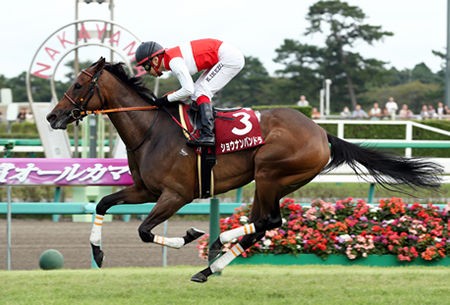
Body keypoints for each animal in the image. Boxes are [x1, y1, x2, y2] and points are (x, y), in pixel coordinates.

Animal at [47, 57, 442, 282]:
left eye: (78, 84)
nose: (52, 116)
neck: (151, 131)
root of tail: (321, 131)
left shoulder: (176, 194)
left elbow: (145, 231)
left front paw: (189, 234)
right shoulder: (145, 189)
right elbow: (102, 203)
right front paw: (97, 253)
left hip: (269, 173)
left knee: (269, 221)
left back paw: (217, 243)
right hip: (274, 182)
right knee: (263, 225)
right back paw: (210, 267)